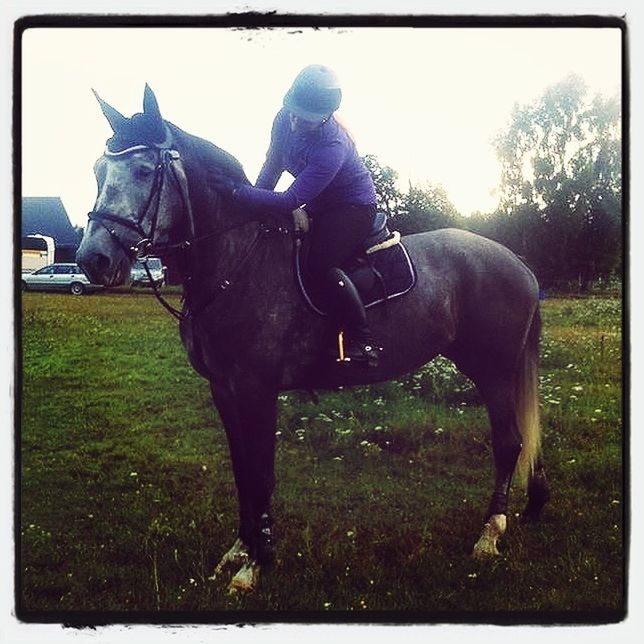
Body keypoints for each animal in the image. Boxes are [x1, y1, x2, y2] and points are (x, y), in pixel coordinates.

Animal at [75, 85, 548, 592]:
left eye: (145, 171)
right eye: (98, 170)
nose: (93, 260)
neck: (235, 263)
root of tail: (518, 264)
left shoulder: (257, 391)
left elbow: (261, 474)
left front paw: (256, 562)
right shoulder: (224, 390)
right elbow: (242, 472)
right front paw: (239, 549)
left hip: (493, 370)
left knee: (509, 442)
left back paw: (489, 534)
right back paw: (531, 505)